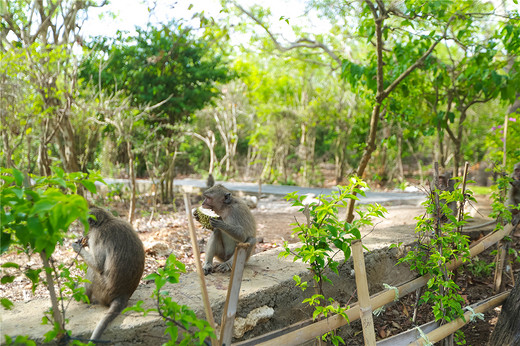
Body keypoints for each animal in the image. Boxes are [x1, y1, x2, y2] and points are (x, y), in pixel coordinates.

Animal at [71, 207, 144, 342]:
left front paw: (77, 246)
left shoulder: (97, 236)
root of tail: (123, 295)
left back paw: (84, 297)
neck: (105, 221)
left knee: (93, 271)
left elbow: (98, 265)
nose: (83, 232)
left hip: (102, 291)